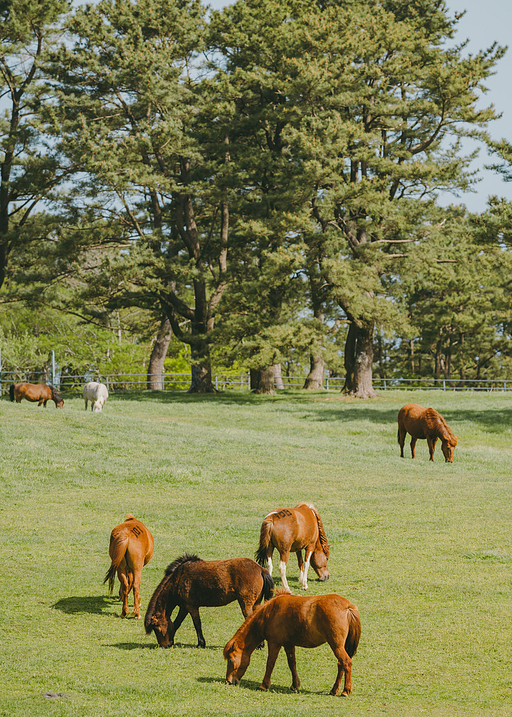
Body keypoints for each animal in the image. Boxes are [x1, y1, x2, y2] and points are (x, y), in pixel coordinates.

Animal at [144, 552, 276, 648]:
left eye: (157, 629)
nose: (164, 645)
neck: (178, 579)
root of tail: (261, 569)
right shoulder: (184, 608)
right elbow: (177, 623)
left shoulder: (191, 606)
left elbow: (197, 624)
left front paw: (201, 643)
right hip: (255, 603)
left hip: (245, 604)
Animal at [224, 588, 360, 692]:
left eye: (231, 660)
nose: (229, 681)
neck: (269, 613)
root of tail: (348, 606)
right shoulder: (289, 644)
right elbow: (292, 664)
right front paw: (295, 685)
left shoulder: (274, 643)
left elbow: (270, 664)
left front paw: (264, 685)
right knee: (341, 664)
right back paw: (334, 690)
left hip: (336, 645)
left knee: (346, 662)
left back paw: (346, 690)